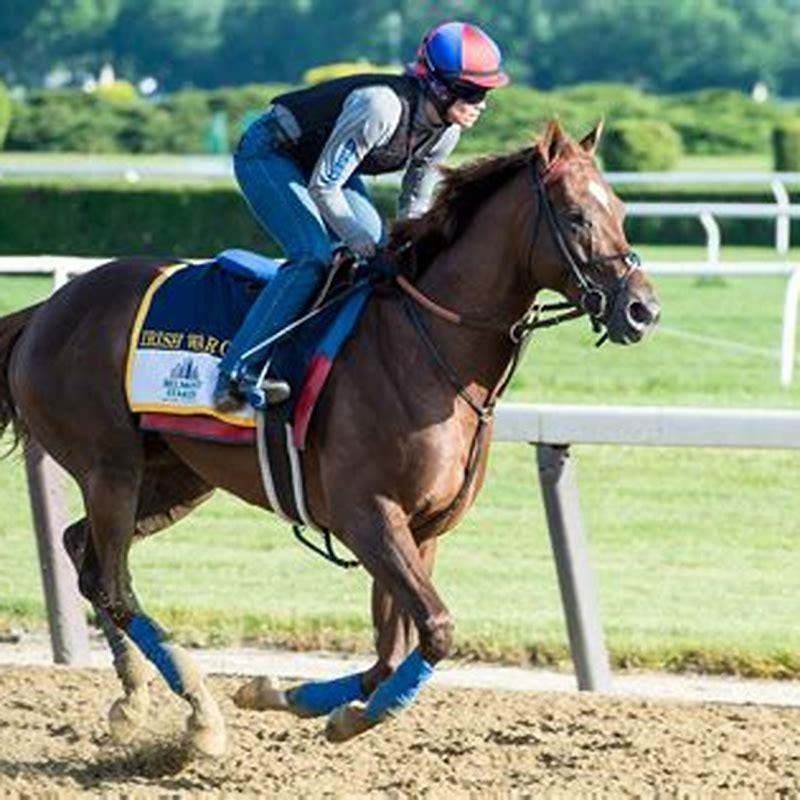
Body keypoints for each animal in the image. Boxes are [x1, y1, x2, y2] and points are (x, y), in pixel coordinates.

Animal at [0, 122, 656, 752]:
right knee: (114, 584)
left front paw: (282, 695)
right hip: (110, 465)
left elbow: (392, 654)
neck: (427, 347)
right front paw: (338, 716)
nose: (642, 309)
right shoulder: (366, 515)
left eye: (623, 209)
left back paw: (135, 700)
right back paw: (201, 716)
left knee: (85, 555)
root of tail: (47, 310)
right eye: (576, 216)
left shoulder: (422, 529)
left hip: (175, 478)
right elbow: (437, 630)